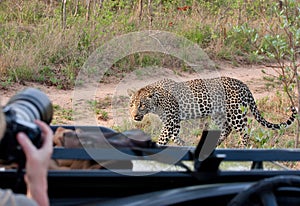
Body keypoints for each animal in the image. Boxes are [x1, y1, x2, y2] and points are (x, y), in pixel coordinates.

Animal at [127, 77, 298, 146]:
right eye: (131, 105)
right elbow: (175, 136)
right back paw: (213, 144)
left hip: (235, 113)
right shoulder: (173, 122)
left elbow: (164, 137)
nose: (134, 116)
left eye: (141, 105)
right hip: (219, 114)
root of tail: (243, 84)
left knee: (244, 132)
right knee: (226, 129)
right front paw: (185, 145)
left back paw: (243, 147)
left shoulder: (171, 120)